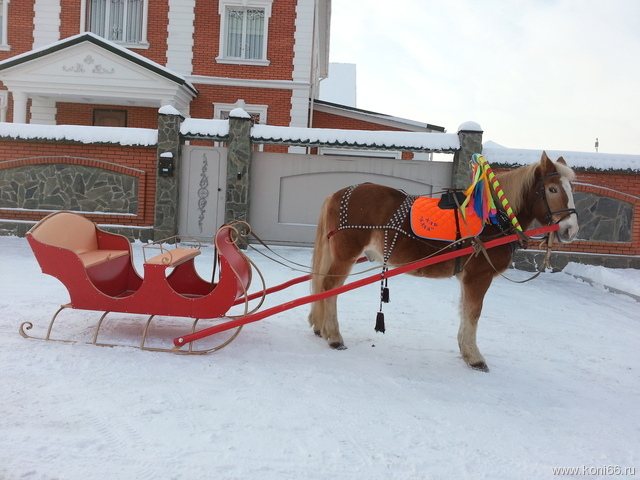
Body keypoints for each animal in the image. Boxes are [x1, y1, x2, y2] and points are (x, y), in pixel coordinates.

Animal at [308, 151, 580, 372]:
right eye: (552, 189)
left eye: (570, 189)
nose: (570, 230)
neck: (494, 218)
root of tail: (338, 193)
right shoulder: (478, 277)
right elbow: (473, 312)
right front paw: (474, 357)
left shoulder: (468, 278)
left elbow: (465, 311)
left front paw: (465, 350)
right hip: (346, 255)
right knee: (329, 288)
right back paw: (334, 336)